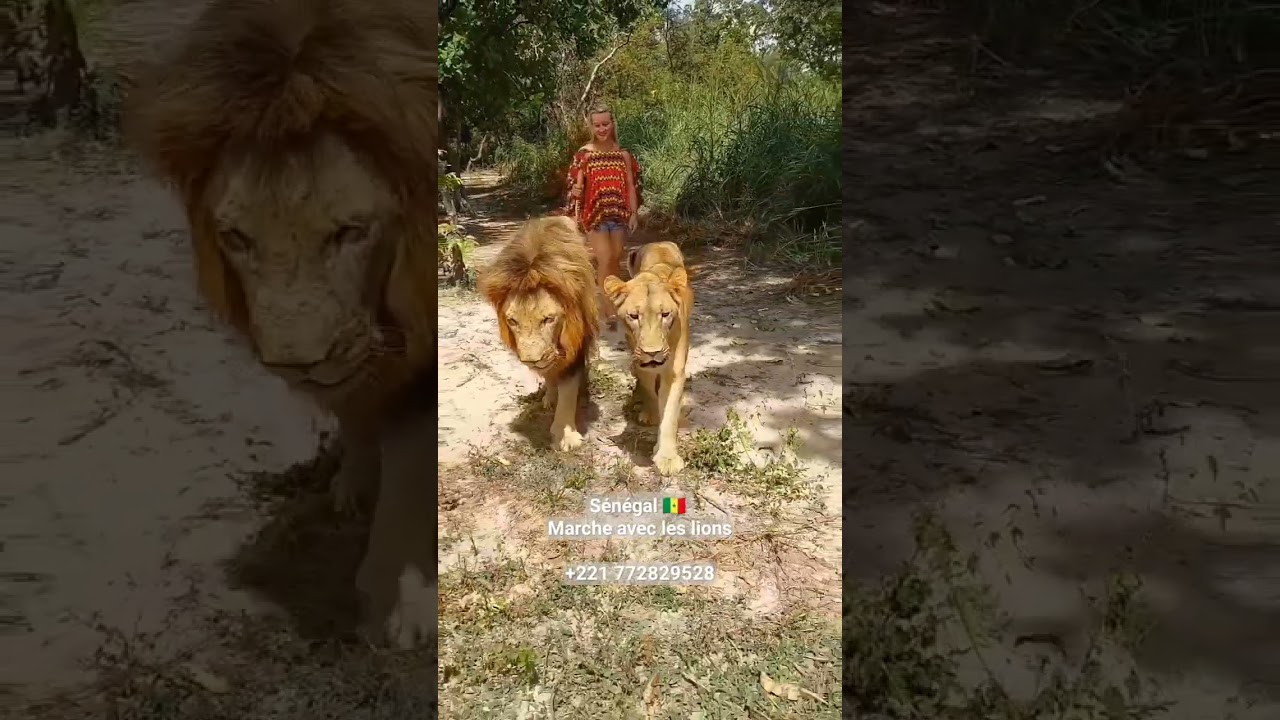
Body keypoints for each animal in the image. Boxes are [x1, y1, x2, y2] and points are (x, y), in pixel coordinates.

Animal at [124, 0, 437, 649]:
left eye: (350, 231)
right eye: (237, 237)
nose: (297, 362)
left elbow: (412, 462)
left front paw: (401, 602)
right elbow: (359, 414)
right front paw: (352, 484)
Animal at [479, 215, 598, 451]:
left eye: (548, 319)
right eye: (513, 321)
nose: (531, 360)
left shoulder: (576, 344)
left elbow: (568, 391)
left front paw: (566, 436)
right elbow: (550, 375)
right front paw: (551, 398)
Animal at [603, 241, 693, 475]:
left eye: (665, 315)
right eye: (634, 316)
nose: (652, 352)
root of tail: (659, 243)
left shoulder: (674, 372)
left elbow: (669, 414)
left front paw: (667, 457)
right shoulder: (641, 365)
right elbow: (650, 392)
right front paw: (652, 416)